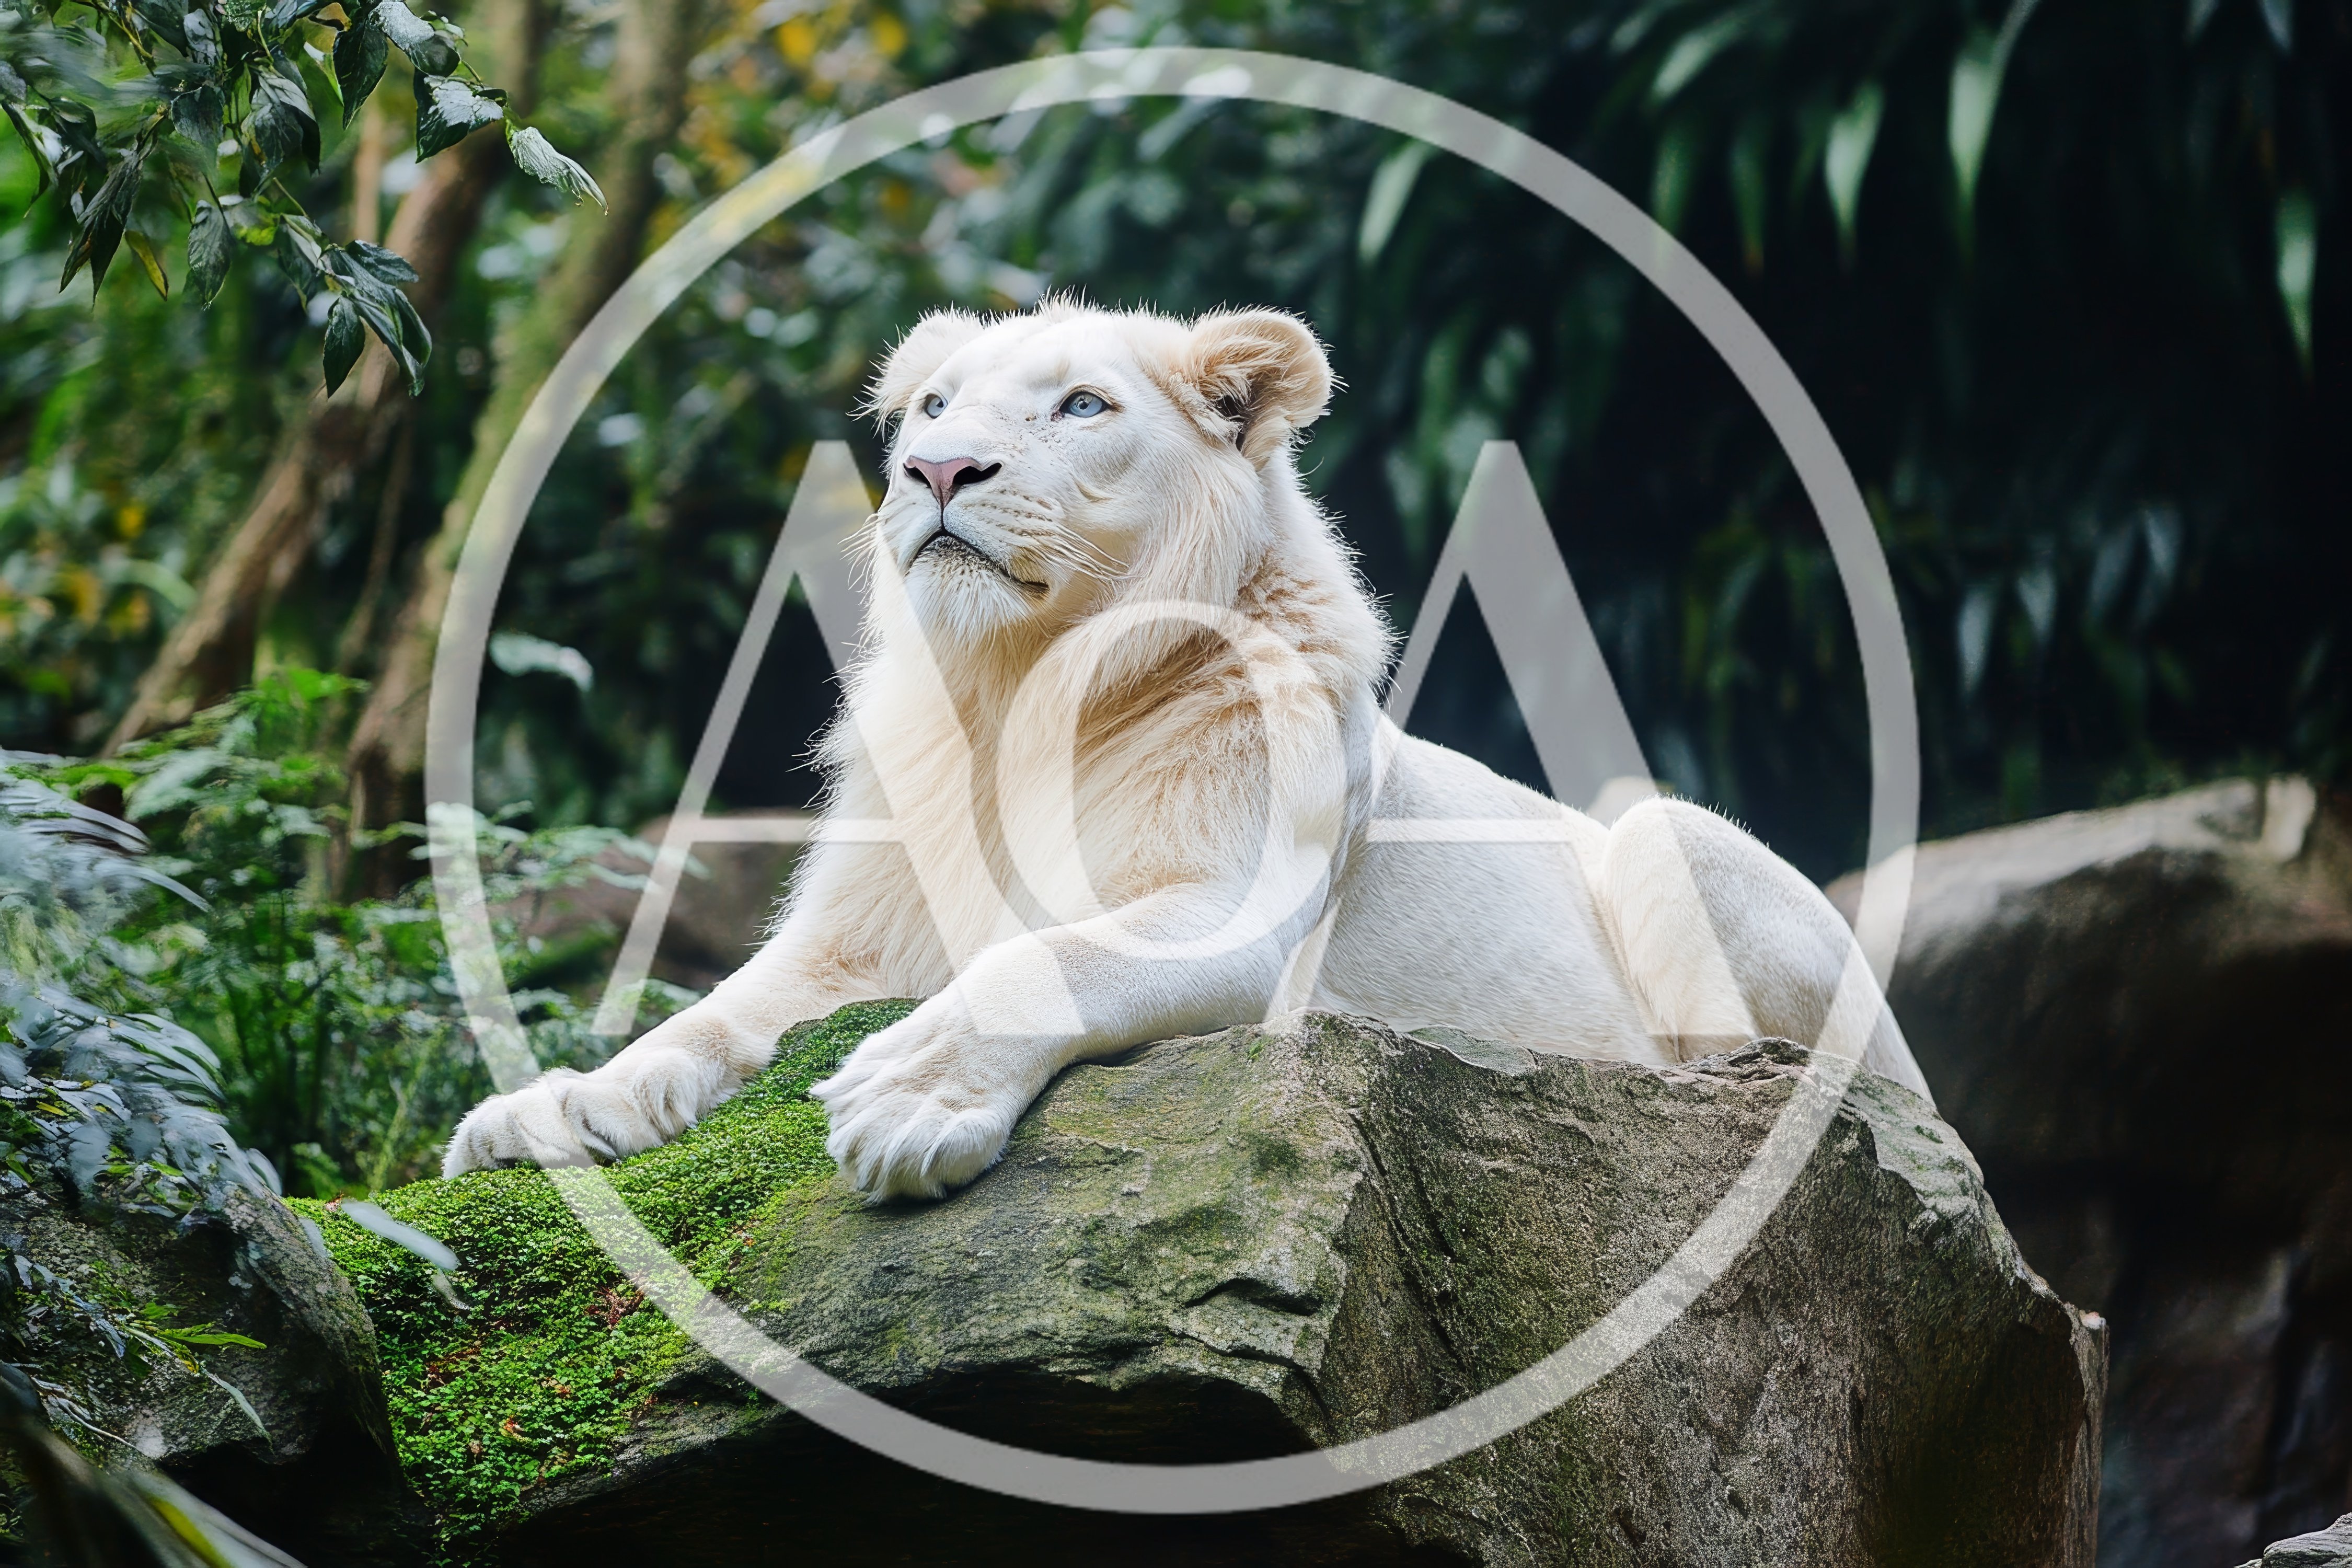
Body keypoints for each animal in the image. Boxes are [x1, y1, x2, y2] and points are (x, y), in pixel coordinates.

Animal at [444, 300, 1930, 1199]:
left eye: (1081, 406)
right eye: (931, 407)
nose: (938, 473)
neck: (1015, 689)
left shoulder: (1237, 909)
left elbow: (1050, 958)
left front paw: (902, 1103)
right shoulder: (857, 940)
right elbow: (706, 1015)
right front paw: (546, 1114)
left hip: (1671, 842)